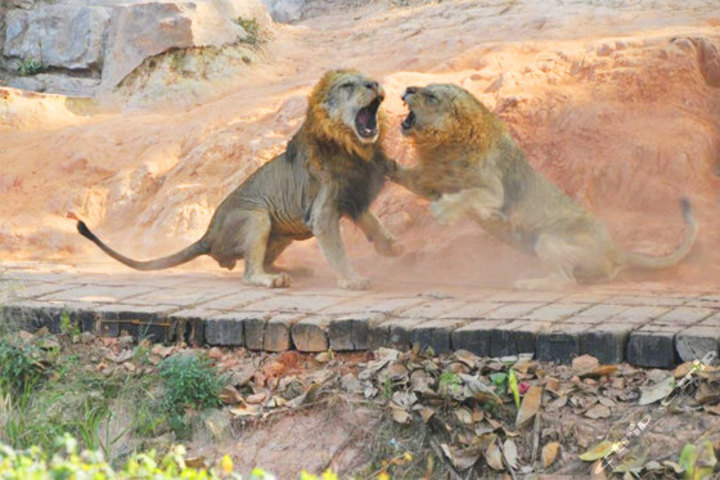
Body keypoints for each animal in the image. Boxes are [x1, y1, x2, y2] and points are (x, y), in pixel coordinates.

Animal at [81, 70, 404, 290]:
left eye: (368, 79)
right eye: (348, 85)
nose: (374, 84)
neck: (353, 146)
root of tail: (208, 235)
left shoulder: (351, 194)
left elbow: (372, 221)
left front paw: (391, 245)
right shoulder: (322, 212)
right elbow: (337, 251)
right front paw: (352, 280)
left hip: (284, 230)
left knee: (261, 260)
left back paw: (291, 270)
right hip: (256, 215)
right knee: (248, 272)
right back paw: (273, 279)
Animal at [394, 82, 696, 288]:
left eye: (431, 96)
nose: (408, 88)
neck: (444, 145)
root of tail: (615, 249)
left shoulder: (495, 194)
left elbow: (469, 195)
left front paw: (443, 212)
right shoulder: (431, 182)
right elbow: (402, 174)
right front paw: (383, 162)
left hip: (549, 239)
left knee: (566, 281)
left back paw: (528, 283)